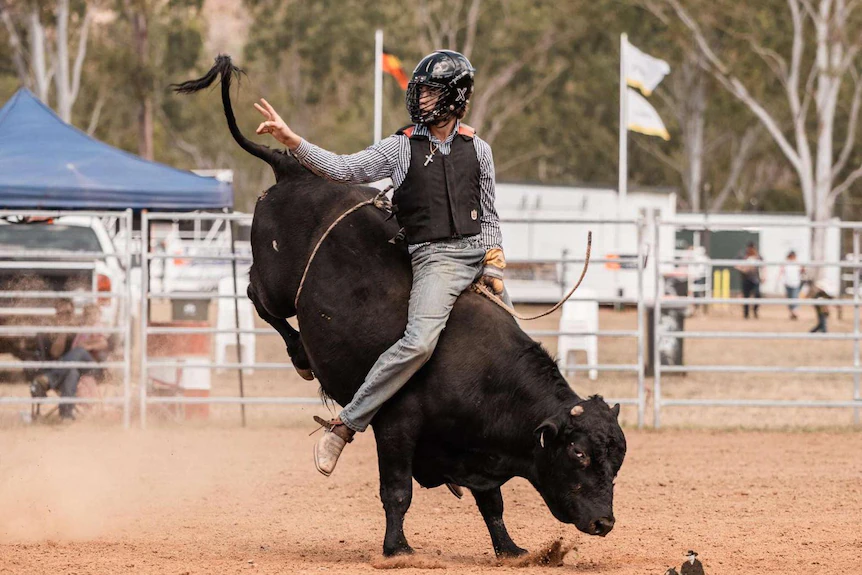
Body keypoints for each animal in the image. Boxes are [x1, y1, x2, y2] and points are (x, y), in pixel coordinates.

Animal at [176, 56, 624, 560]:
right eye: (578, 454)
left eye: (617, 459)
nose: (604, 522)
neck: (485, 374)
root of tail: (292, 169)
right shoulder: (396, 424)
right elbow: (397, 491)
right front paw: (397, 548)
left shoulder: (477, 454)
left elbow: (492, 502)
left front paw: (511, 548)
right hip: (275, 282)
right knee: (258, 297)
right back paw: (300, 356)